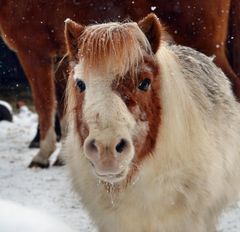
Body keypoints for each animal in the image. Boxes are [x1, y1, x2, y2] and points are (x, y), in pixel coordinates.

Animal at [0, 0, 239, 169]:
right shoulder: (64, 59)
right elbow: (64, 106)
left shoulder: (33, 54)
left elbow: (44, 104)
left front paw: (42, 155)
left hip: (206, 44)